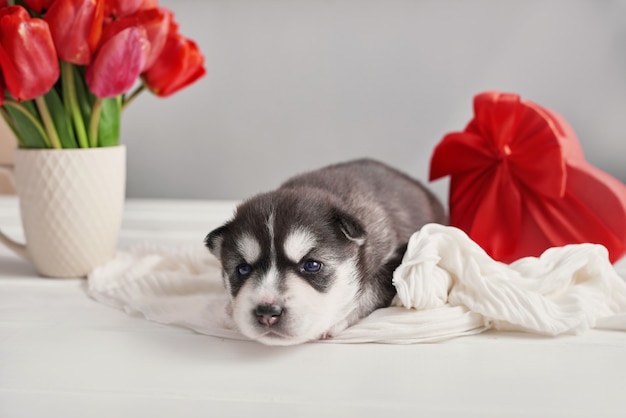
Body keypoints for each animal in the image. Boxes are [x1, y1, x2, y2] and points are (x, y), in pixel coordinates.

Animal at [205, 158, 444, 344]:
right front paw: (230, 309)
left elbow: (371, 290)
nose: (267, 313)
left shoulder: (399, 257)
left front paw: (337, 319)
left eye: (312, 265)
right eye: (243, 269)